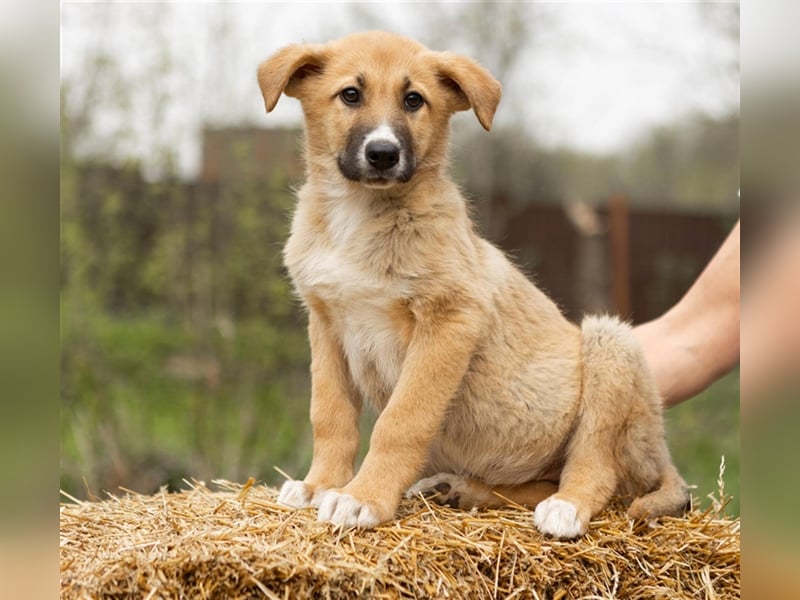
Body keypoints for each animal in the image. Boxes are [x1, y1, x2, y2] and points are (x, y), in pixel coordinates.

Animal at [256, 30, 688, 540]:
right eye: (350, 95)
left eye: (414, 100)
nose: (383, 154)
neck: (359, 215)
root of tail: (659, 447)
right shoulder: (327, 324)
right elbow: (330, 417)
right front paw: (318, 485)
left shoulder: (450, 321)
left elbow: (401, 421)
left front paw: (364, 498)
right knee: (538, 482)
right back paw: (463, 490)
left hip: (610, 344)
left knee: (595, 466)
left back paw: (566, 507)